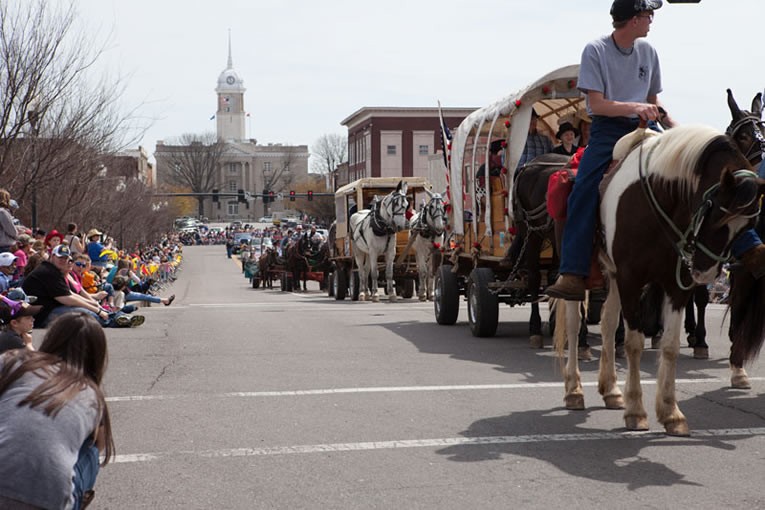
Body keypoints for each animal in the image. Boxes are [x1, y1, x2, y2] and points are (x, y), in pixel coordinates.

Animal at [556, 125, 764, 436]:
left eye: (749, 226)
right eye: (716, 214)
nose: (705, 273)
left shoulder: (675, 285)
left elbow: (669, 345)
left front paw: (670, 412)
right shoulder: (631, 278)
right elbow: (634, 343)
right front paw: (636, 410)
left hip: (612, 275)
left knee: (607, 322)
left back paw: (611, 390)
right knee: (573, 323)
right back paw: (574, 390)